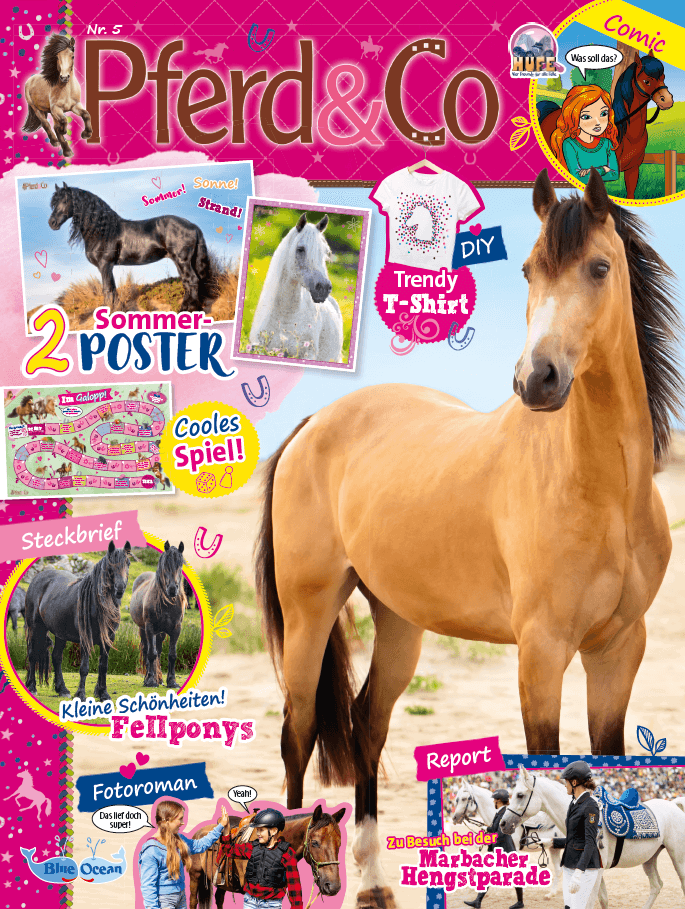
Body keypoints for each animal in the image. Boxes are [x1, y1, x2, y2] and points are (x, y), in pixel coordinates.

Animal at [25, 540, 131, 701]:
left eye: (128, 563)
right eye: (110, 565)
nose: (120, 589)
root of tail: (38, 578)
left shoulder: (108, 639)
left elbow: (103, 667)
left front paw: (103, 694)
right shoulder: (85, 639)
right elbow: (84, 668)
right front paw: (81, 694)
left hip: (60, 634)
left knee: (56, 657)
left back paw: (62, 689)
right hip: (35, 628)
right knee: (32, 655)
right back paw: (32, 687)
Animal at [48, 183, 216, 312]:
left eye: (65, 200)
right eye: (54, 203)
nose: (52, 223)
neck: (103, 230)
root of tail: (193, 225)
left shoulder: (105, 265)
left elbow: (107, 290)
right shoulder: (108, 267)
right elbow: (113, 289)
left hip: (182, 260)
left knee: (192, 280)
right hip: (182, 261)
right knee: (188, 282)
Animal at [129, 542, 186, 688]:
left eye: (180, 564)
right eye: (165, 564)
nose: (172, 589)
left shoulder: (176, 629)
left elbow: (172, 654)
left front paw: (172, 681)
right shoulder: (150, 628)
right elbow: (151, 653)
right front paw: (150, 680)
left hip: (161, 632)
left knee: (159, 651)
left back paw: (159, 678)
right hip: (143, 629)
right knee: (147, 650)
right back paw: (149, 678)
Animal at [501, 767, 685, 909]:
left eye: (519, 795)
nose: (503, 824)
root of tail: (673, 804)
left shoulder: (596, 871)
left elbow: (590, 902)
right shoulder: (595, 869)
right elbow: (602, 900)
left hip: (678, 858)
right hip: (649, 858)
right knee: (656, 885)